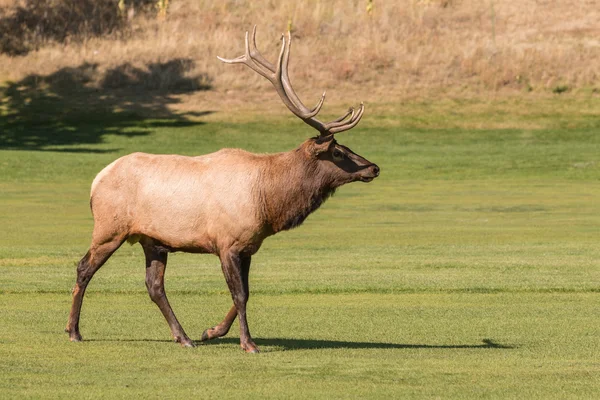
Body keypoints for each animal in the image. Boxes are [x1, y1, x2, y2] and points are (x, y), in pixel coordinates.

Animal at [65, 27, 380, 354]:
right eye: (338, 152)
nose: (373, 168)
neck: (268, 200)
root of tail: (96, 181)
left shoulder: (248, 245)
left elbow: (246, 292)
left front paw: (211, 331)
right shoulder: (227, 242)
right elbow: (239, 294)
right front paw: (248, 343)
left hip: (153, 240)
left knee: (154, 286)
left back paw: (184, 337)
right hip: (109, 228)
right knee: (84, 268)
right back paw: (73, 330)